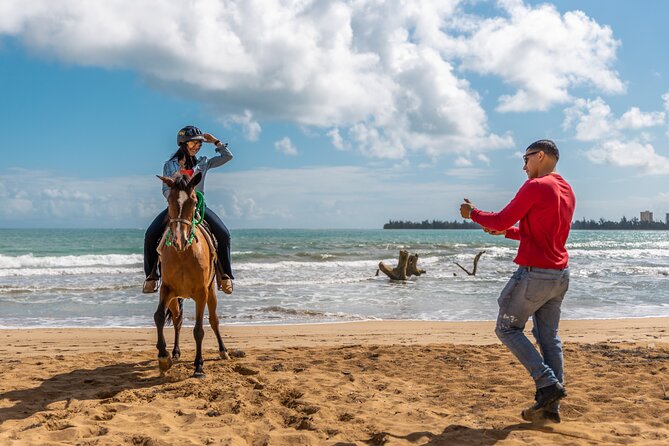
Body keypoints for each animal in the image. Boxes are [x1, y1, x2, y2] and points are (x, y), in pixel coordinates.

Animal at [155, 171, 231, 376]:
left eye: (194, 201)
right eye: (169, 200)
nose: (178, 240)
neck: (183, 253)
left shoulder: (201, 292)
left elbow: (199, 330)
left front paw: (198, 366)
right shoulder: (166, 289)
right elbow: (158, 317)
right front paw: (163, 357)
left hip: (211, 293)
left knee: (214, 320)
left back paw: (223, 351)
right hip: (175, 299)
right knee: (177, 320)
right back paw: (175, 352)